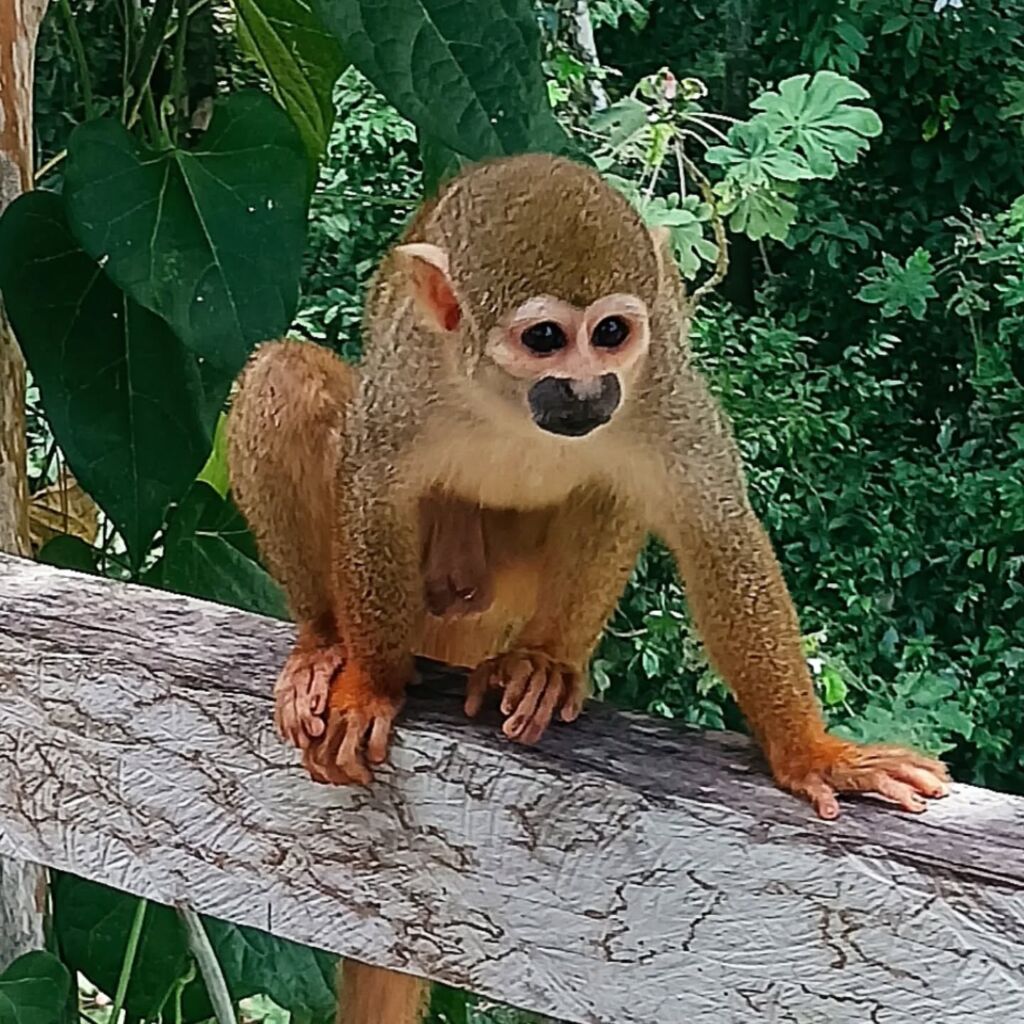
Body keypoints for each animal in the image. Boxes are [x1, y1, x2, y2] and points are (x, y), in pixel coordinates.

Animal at [226, 152, 949, 1024]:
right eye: (546, 339)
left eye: (610, 334)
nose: (588, 388)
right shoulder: (410, 371)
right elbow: (374, 490)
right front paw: (369, 685)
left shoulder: (661, 377)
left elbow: (714, 527)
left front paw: (815, 753)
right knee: (285, 375)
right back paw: (328, 643)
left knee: (609, 484)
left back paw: (542, 663)